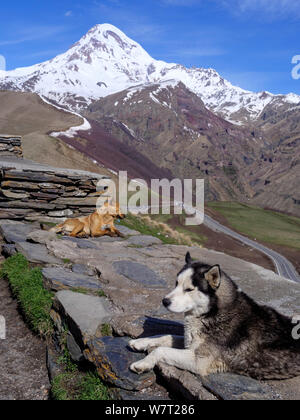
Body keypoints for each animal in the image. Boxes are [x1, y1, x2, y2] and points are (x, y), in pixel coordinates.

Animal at [130, 253, 300, 380]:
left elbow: (162, 350)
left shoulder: (198, 361)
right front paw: (141, 341)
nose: (164, 301)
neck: (212, 312)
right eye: (176, 283)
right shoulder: (190, 342)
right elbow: (166, 336)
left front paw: (143, 363)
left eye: (189, 289)